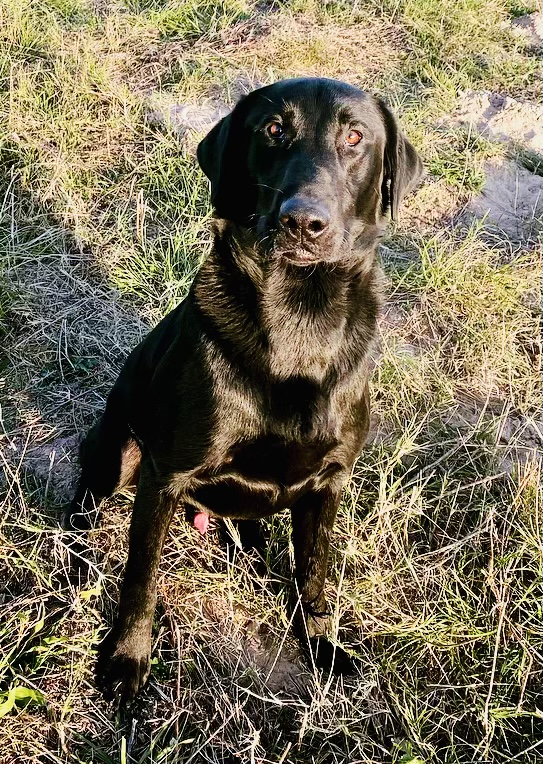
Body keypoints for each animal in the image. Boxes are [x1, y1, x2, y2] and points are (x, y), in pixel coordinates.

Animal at [62, 79, 420, 704]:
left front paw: (322, 646)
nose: (303, 222)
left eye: (355, 137)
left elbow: (314, 577)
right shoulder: (166, 473)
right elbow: (140, 579)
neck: (300, 318)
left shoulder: (330, 483)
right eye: (273, 130)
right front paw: (128, 658)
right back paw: (79, 558)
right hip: (119, 448)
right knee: (87, 501)